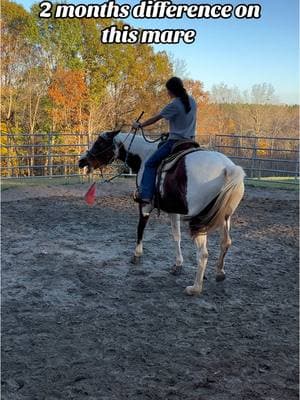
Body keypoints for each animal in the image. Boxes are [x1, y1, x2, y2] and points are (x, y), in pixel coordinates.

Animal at [78, 130, 245, 296]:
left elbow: (140, 229)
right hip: (225, 217)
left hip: (199, 220)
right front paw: (178, 264)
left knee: (203, 253)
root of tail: (227, 169)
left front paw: (137, 255)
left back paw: (195, 288)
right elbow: (176, 236)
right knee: (225, 242)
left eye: (99, 143)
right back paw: (219, 273)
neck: (145, 155)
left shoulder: (145, 205)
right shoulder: (173, 210)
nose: (81, 161)